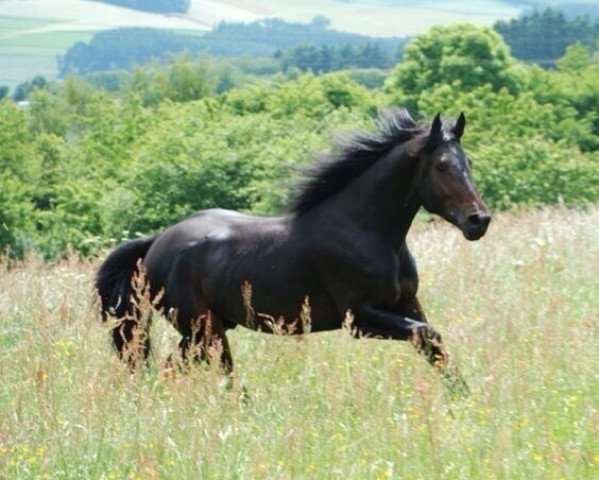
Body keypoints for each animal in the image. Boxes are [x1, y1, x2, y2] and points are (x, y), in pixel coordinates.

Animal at [96, 107, 492, 376]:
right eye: (442, 166)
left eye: (469, 162)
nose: (479, 221)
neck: (365, 231)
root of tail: (156, 242)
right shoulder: (360, 317)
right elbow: (427, 335)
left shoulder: (407, 304)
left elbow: (434, 345)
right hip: (204, 330)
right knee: (225, 378)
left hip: (206, 328)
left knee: (172, 369)